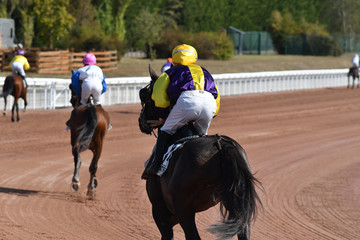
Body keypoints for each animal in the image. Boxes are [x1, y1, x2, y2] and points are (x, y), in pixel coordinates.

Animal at [138, 64, 262, 239]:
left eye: (144, 96)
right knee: (243, 229)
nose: (140, 122)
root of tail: (221, 145)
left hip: (184, 209)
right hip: (236, 201)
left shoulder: (161, 209)